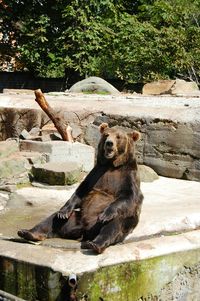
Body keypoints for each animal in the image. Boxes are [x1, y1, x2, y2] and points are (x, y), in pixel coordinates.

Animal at [17, 123, 143, 252]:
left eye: (118, 136)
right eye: (106, 134)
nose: (109, 143)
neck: (112, 165)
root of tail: (85, 232)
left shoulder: (127, 176)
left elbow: (129, 197)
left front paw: (107, 213)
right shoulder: (96, 173)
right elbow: (81, 191)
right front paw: (64, 211)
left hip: (113, 224)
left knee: (112, 226)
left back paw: (95, 244)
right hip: (75, 219)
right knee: (53, 219)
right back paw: (27, 232)